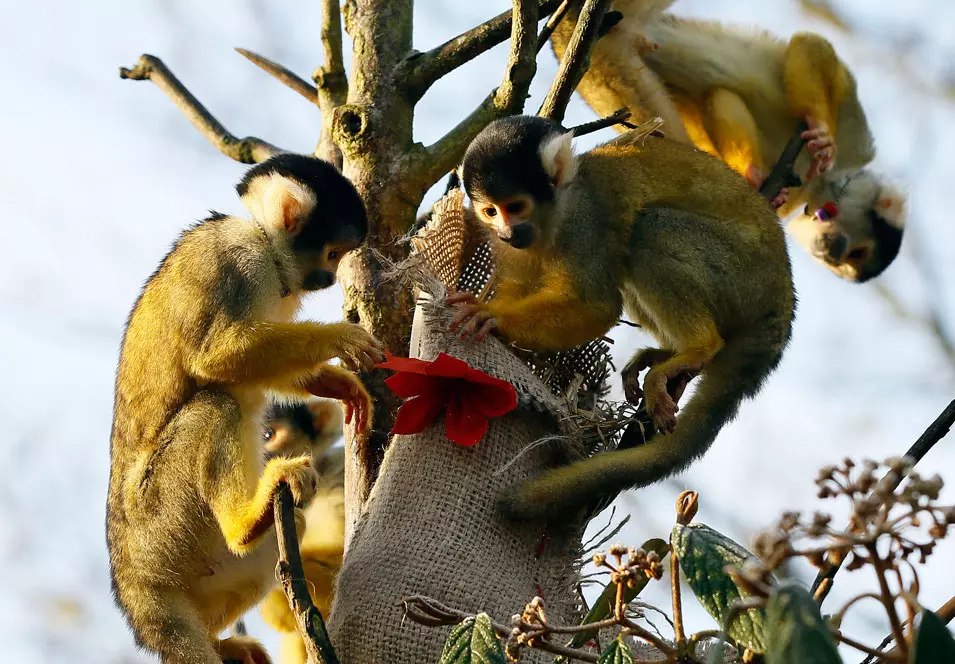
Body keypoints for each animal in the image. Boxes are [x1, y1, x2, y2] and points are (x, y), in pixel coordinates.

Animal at [452, 116, 796, 520]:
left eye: (516, 206)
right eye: (491, 211)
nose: (507, 231)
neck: (556, 214)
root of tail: (782, 303)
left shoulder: (585, 224)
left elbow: (596, 306)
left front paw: (493, 318)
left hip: (742, 273)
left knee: (649, 228)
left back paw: (699, 347)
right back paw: (669, 354)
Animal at [552, 0, 904, 282]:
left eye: (846, 262)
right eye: (855, 254)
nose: (831, 254)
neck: (820, 183)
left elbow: (719, 104)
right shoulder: (858, 143)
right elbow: (809, 45)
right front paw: (820, 131)